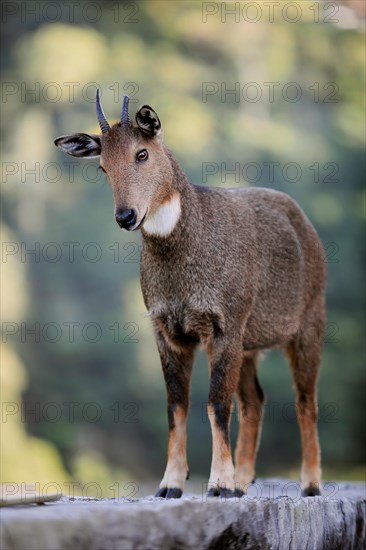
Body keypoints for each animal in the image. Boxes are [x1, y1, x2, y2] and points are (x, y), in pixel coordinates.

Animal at [54, 91, 326, 500]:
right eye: (101, 167)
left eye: (142, 153)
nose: (125, 215)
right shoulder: (167, 328)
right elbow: (176, 404)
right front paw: (170, 484)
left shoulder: (224, 322)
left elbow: (216, 403)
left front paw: (218, 484)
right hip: (249, 343)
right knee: (255, 400)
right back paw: (244, 482)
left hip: (308, 320)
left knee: (305, 399)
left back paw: (309, 484)